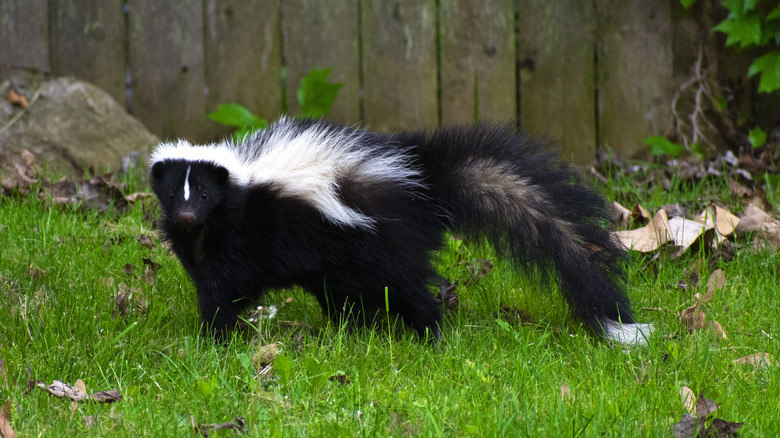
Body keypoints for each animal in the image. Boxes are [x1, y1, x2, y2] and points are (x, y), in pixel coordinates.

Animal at [151, 118, 652, 344]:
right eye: (175, 194)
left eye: (203, 194)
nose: (187, 216)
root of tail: (424, 185)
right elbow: (211, 285)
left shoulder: (240, 237)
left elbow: (224, 290)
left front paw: (213, 338)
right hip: (348, 264)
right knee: (348, 295)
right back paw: (352, 331)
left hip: (385, 248)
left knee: (411, 290)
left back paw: (433, 336)